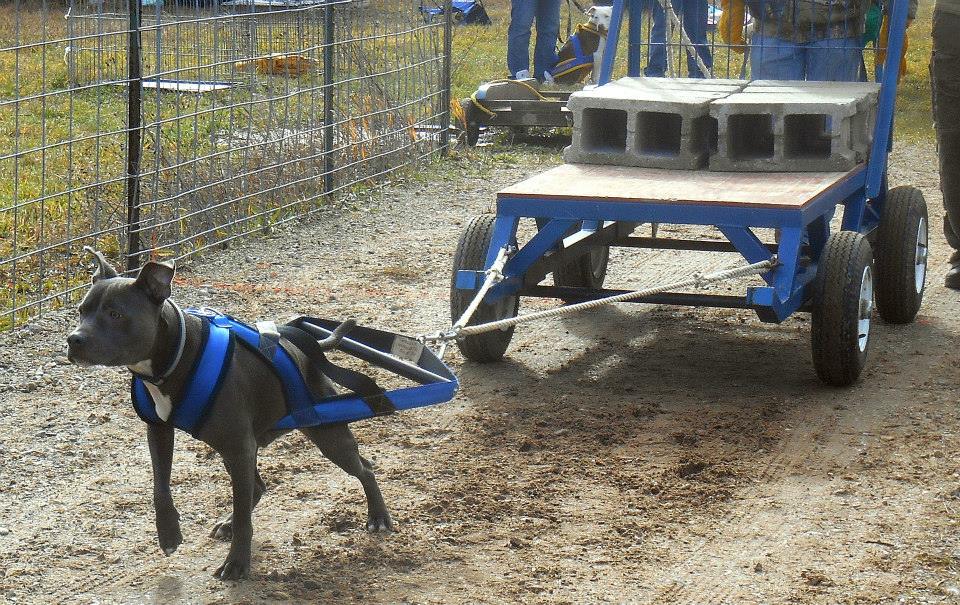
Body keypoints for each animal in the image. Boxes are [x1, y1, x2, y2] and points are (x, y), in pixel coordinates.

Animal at [66, 249, 394, 580]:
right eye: (81, 311)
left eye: (115, 314)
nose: (73, 340)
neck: (174, 358)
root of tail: (306, 350)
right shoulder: (160, 431)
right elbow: (160, 487)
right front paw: (169, 533)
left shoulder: (239, 448)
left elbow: (243, 517)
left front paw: (237, 562)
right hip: (239, 448)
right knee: (258, 487)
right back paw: (228, 522)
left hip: (326, 434)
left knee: (364, 469)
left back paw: (378, 516)